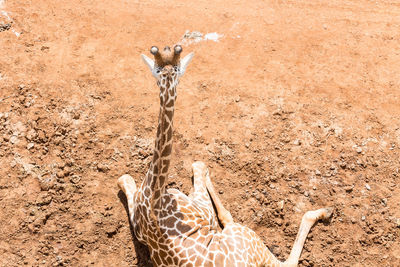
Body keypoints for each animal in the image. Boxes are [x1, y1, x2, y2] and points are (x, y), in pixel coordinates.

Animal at [117, 45, 332, 266]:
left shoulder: (138, 221)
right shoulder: (202, 208)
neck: (155, 202)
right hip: (248, 236)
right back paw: (323, 212)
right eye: (159, 70)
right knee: (283, 258)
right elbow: (198, 165)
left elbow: (123, 178)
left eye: (174, 70)